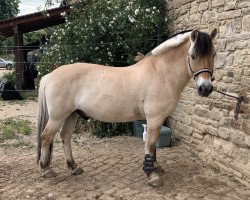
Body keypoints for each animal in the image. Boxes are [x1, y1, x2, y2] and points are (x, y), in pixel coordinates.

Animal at [36, 28, 217, 187]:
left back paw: (74, 167)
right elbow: (150, 144)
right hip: (58, 116)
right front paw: (152, 175)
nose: (206, 88)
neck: (161, 74)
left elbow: (153, 145)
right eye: (193, 56)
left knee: (65, 137)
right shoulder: (155, 117)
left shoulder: (157, 119)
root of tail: (50, 75)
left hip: (72, 114)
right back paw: (46, 169)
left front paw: (155, 167)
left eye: (214, 55)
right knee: (46, 136)